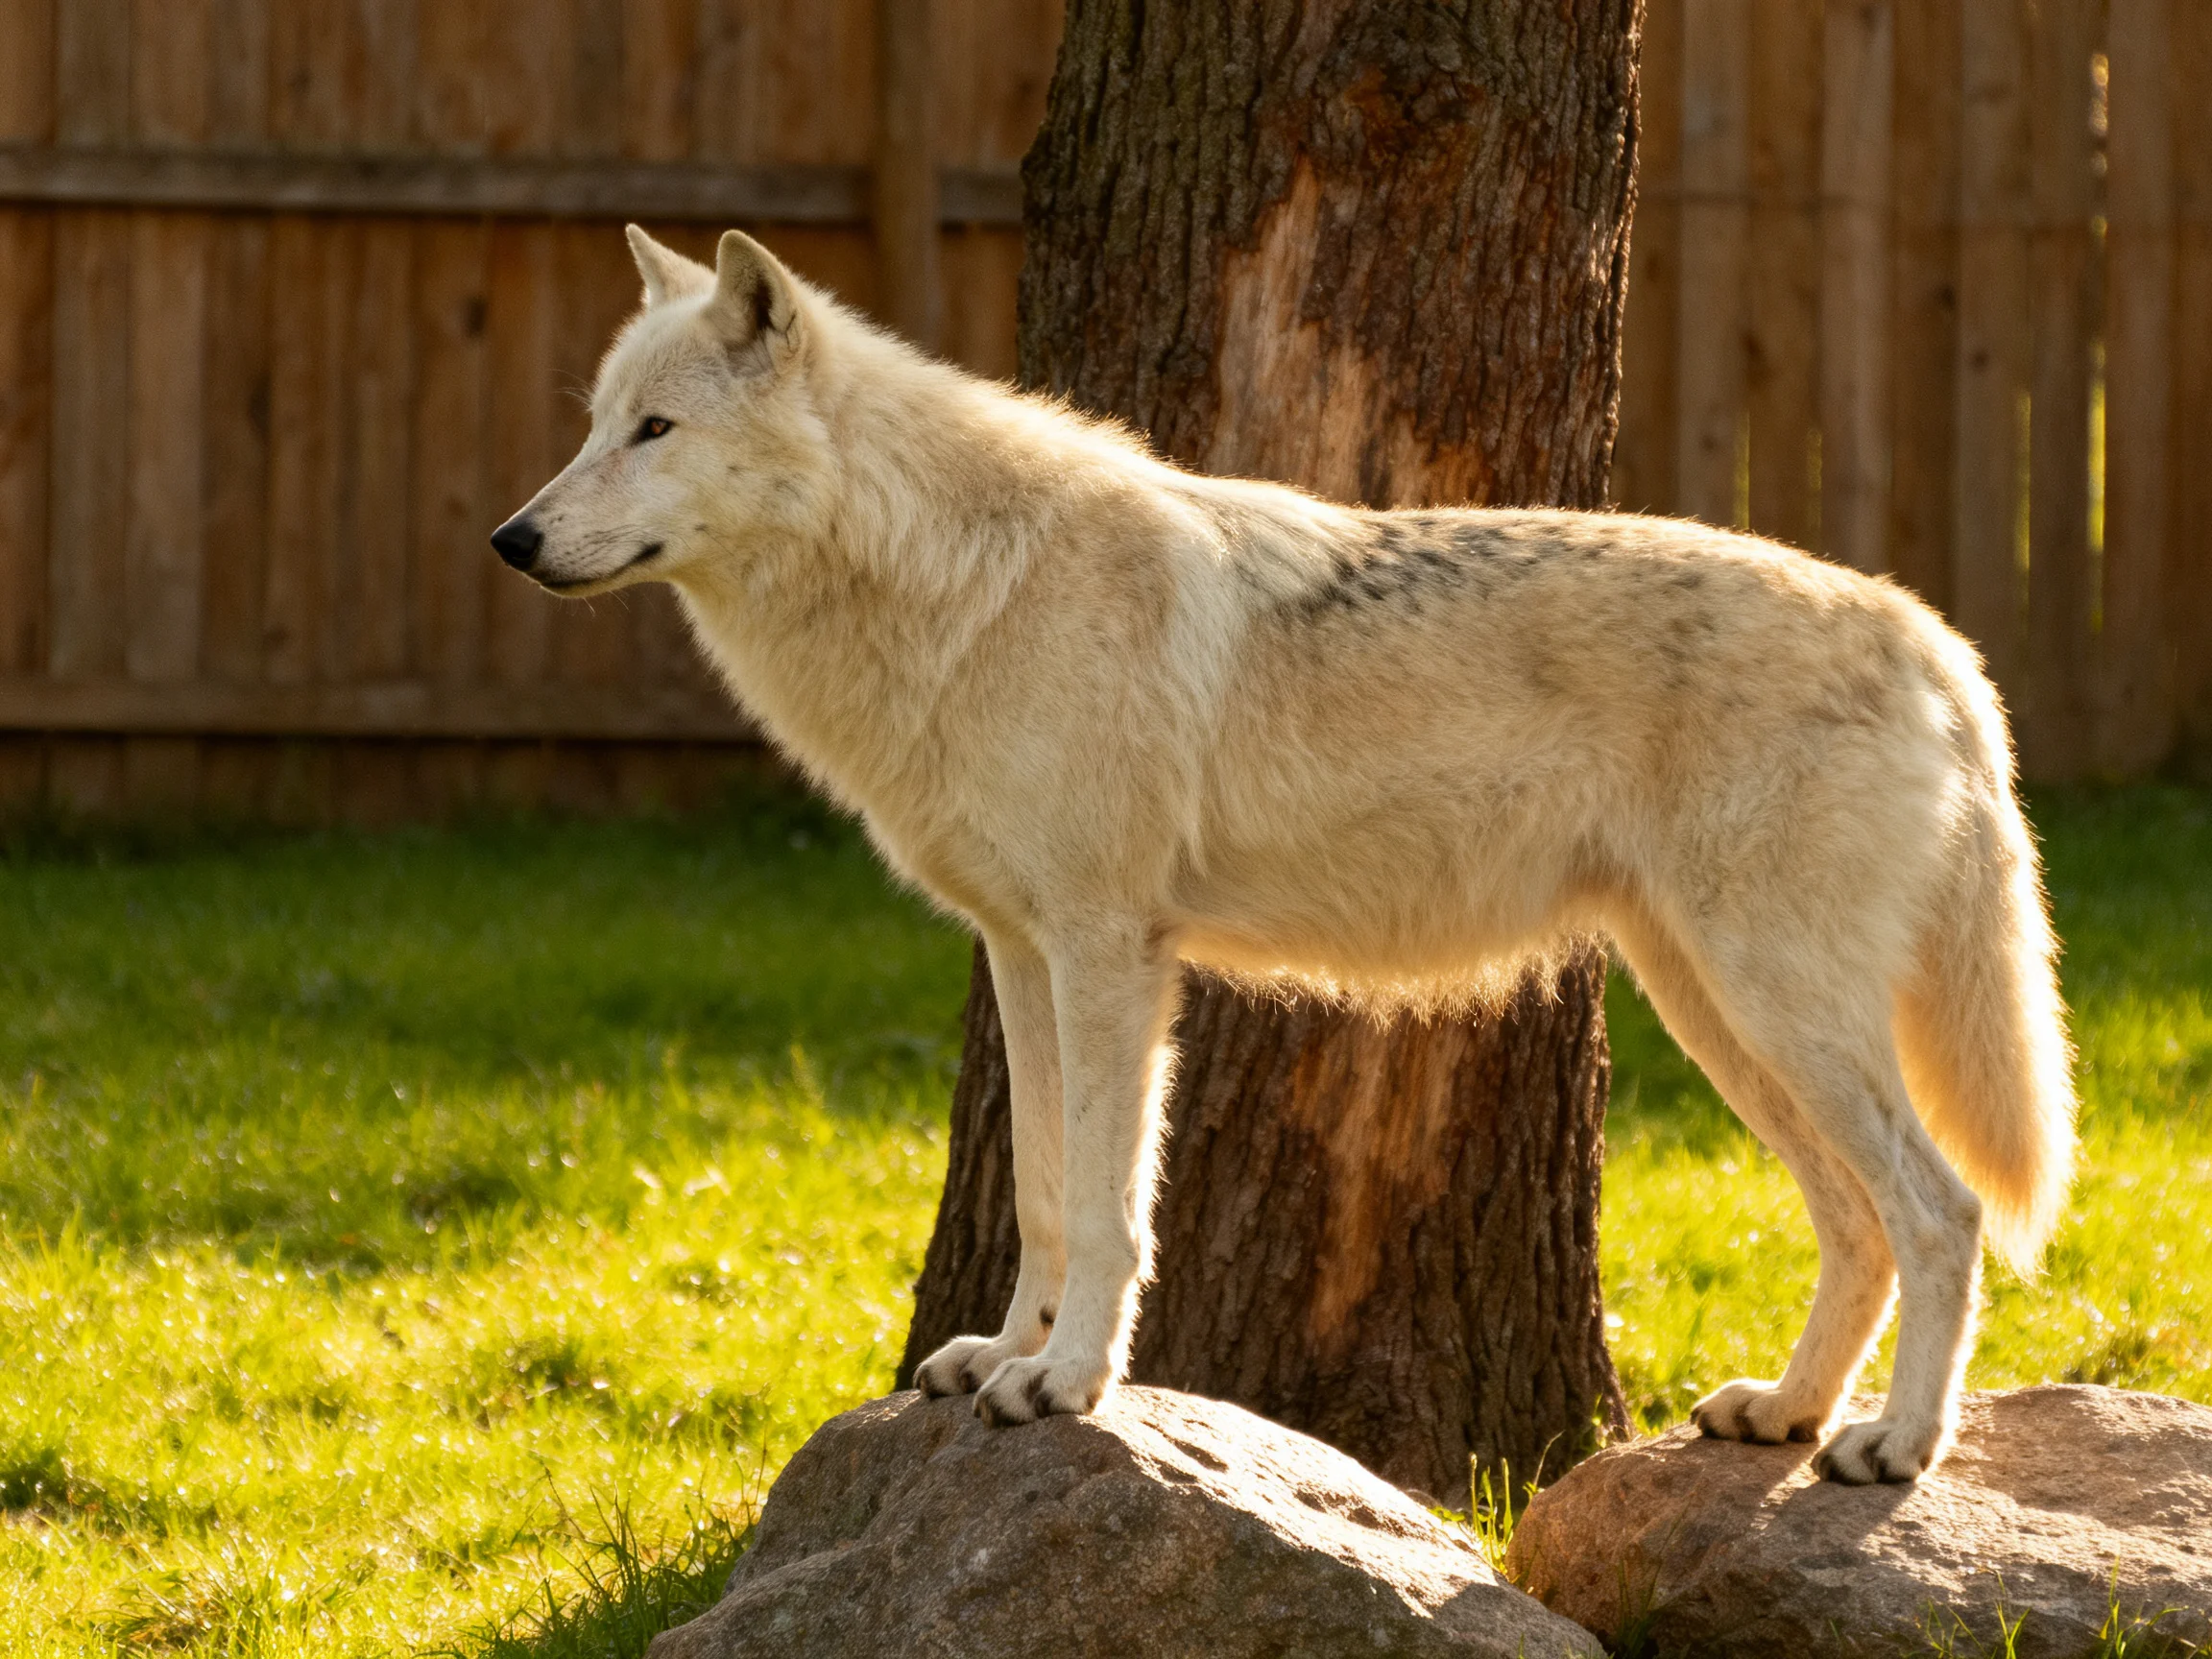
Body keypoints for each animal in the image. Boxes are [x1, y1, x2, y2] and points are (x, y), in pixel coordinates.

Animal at [491, 226, 2076, 1484]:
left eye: (656, 431)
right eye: (591, 423)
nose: (510, 539)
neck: (955, 580)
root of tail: (1932, 637)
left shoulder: (1113, 957)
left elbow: (1112, 1204)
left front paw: (1069, 1385)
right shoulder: (1021, 951)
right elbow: (1049, 1193)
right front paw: (1001, 1357)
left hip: (1771, 1010)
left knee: (1942, 1214)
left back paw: (1892, 1448)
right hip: (1720, 1015)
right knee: (1862, 1226)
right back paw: (1790, 1414)